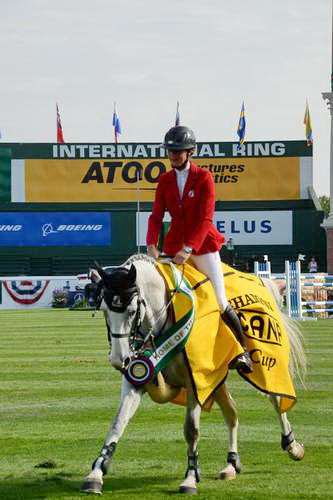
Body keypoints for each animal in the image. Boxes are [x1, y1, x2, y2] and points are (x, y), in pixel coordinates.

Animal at [80, 254, 304, 496]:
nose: (119, 360)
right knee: (232, 414)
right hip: (218, 379)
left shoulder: (197, 381)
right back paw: (231, 464)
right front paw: (96, 474)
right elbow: (117, 423)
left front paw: (190, 477)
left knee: (276, 398)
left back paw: (292, 446)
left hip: (263, 367)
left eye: (131, 310)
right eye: (104, 310)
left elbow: (191, 431)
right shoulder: (138, 377)